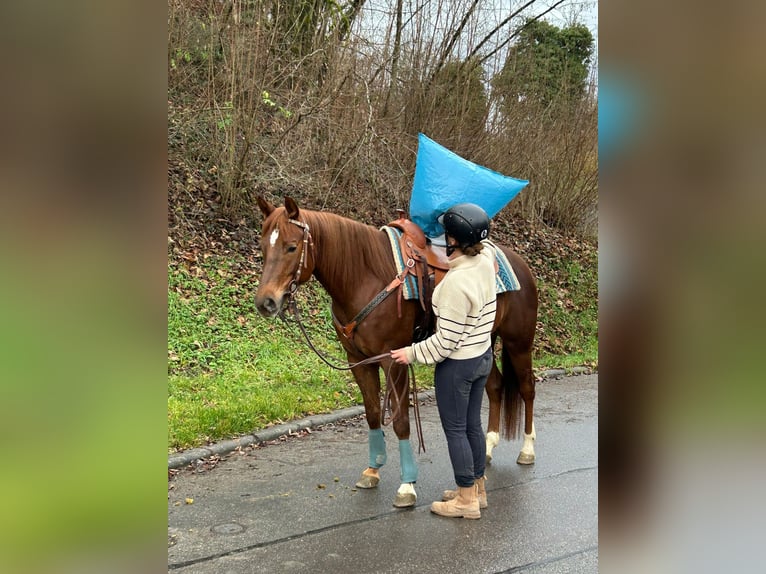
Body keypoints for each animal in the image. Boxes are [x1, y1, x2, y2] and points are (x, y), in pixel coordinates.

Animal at [254, 196, 538, 508]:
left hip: (518, 343)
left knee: (527, 388)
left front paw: (407, 485)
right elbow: (373, 413)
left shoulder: (394, 361)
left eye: (292, 247)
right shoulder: (359, 362)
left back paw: (527, 450)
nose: (265, 302)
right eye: (263, 246)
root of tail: (520, 263)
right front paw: (372, 470)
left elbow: (401, 420)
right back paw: (487, 448)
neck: (364, 279)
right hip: (482, 342)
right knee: (495, 386)